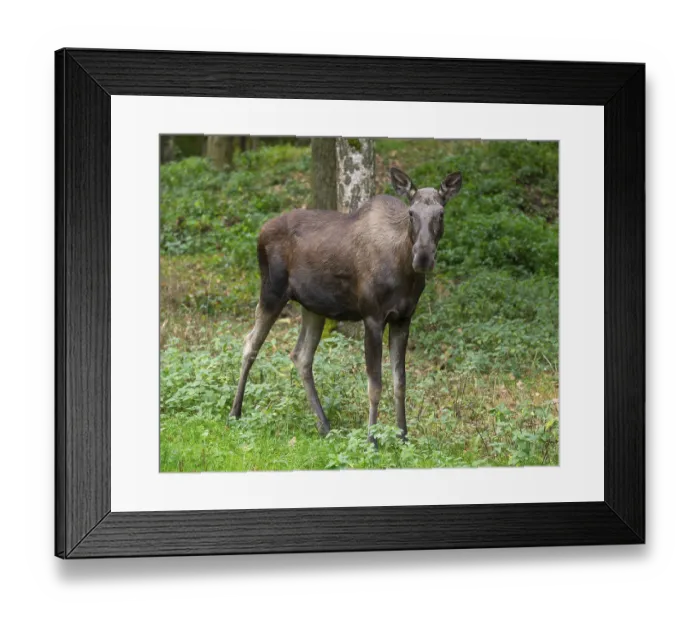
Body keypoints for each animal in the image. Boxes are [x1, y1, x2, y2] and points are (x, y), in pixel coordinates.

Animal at [229, 167, 463, 443]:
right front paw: (372, 439)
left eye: (441, 213)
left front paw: (403, 437)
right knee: (250, 343)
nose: (423, 256)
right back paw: (235, 412)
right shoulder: (372, 317)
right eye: (411, 213)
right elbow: (375, 385)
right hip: (271, 292)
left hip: (313, 307)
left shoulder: (403, 319)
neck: (405, 272)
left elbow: (400, 383)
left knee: (300, 356)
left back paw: (324, 425)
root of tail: (260, 232)